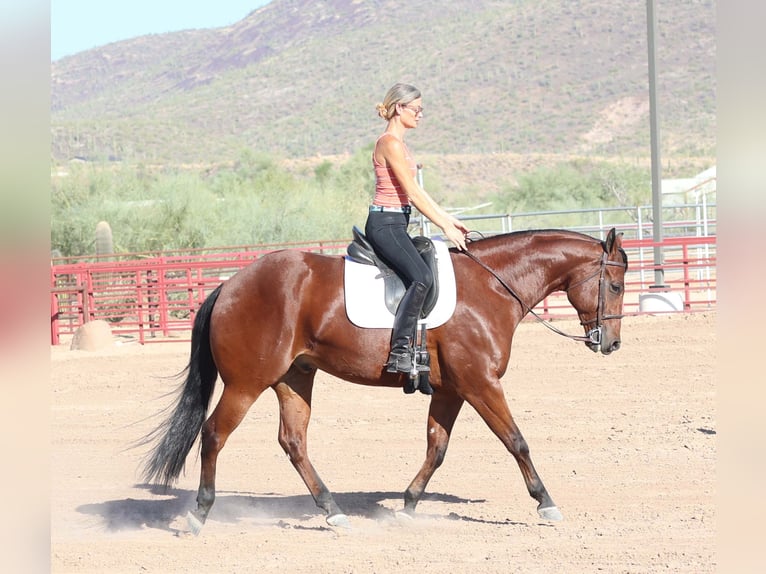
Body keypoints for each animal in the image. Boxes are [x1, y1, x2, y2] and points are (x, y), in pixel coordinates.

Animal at [141, 227, 628, 532]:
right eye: (618, 285)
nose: (611, 344)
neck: (490, 287)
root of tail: (230, 285)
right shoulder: (481, 384)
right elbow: (516, 441)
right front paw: (546, 502)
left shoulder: (451, 390)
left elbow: (436, 448)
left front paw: (409, 505)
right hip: (246, 383)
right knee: (214, 434)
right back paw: (200, 513)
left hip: (293, 378)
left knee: (293, 442)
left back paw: (333, 511)